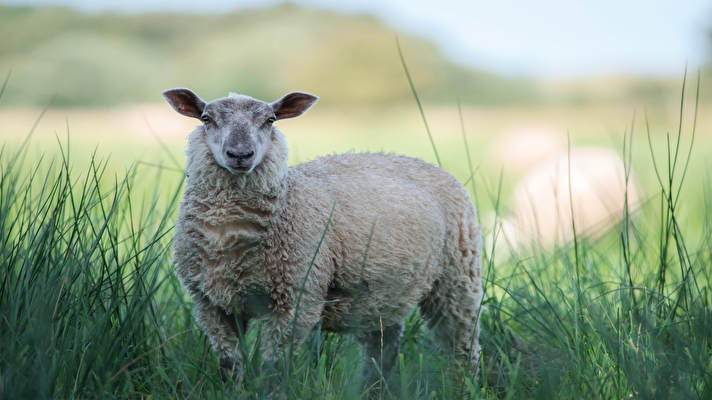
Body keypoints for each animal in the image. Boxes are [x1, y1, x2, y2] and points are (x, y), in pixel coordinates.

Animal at [161, 88, 484, 390]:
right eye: (206, 119)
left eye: (270, 120)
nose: (240, 154)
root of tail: (412, 158)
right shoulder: (212, 305)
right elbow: (230, 366)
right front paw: (235, 391)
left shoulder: (295, 302)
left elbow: (272, 368)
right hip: (383, 295)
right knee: (384, 349)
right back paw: (372, 389)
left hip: (457, 279)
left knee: (463, 345)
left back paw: (463, 385)